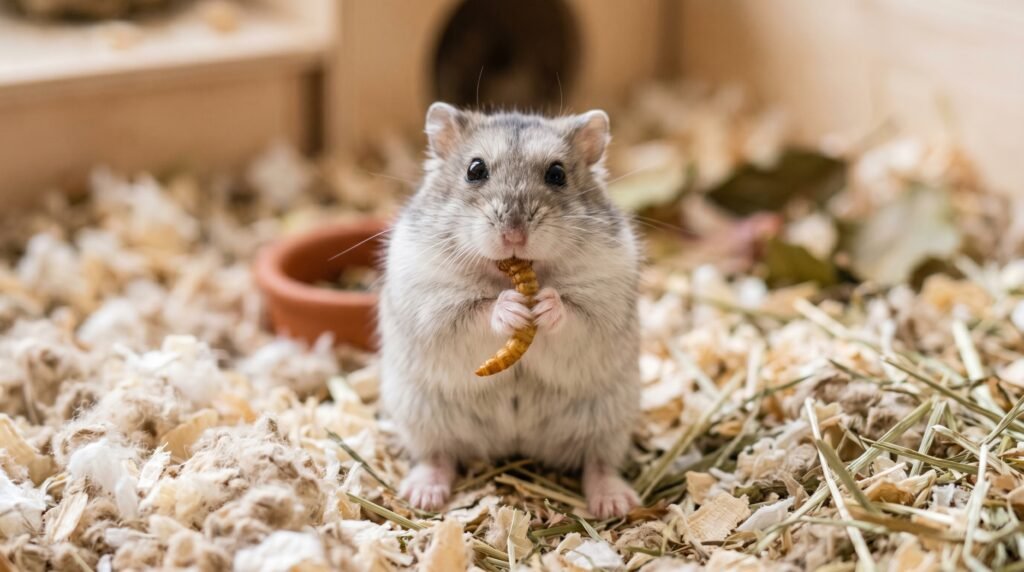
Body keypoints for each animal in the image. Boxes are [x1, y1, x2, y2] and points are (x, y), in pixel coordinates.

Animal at [378, 102, 641, 518]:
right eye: (475, 170)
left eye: (557, 174)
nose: (514, 235)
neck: (511, 274)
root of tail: (515, 444)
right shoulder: (432, 304)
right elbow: (475, 312)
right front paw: (512, 308)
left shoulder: (604, 302)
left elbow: (575, 315)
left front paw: (546, 305)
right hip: (420, 413)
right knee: (437, 456)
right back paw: (422, 495)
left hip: (610, 418)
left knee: (598, 463)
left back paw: (614, 504)